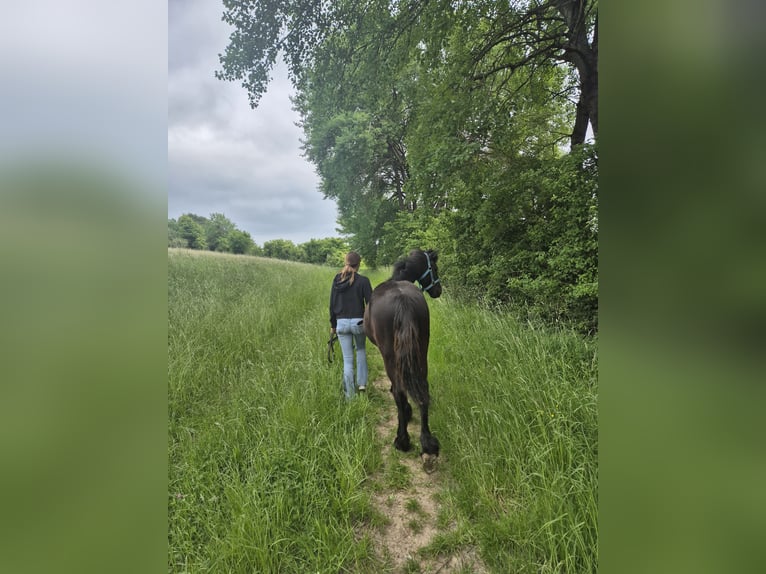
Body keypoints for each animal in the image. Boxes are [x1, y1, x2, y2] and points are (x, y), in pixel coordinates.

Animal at [364, 249, 443, 462]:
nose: (438, 290)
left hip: (390, 355)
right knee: (423, 388)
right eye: (435, 267)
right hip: (422, 349)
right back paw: (428, 444)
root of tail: (402, 301)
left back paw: (402, 440)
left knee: (399, 392)